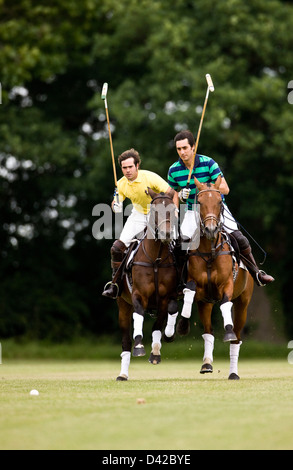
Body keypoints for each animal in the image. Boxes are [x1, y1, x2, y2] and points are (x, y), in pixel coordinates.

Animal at [116, 188, 179, 382]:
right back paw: (122, 374)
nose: (166, 234)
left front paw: (156, 353)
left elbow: (158, 324)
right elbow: (139, 314)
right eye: (155, 211)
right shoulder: (139, 295)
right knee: (125, 341)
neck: (156, 259)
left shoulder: (165, 298)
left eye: (173, 209)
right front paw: (139, 347)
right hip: (123, 304)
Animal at [176, 174, 253, 380]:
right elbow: (189, 292)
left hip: (243, 302)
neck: (210, 252)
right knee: (208, 332)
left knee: (237, 338)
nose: (210, 229)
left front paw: (227, 332)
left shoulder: (227, 284)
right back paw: (207, 364)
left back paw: (233, 372)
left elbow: (226, 303)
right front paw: (183, 324)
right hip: (206, 303)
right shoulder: (198, 288)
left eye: (219, 201)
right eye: (200, 202)